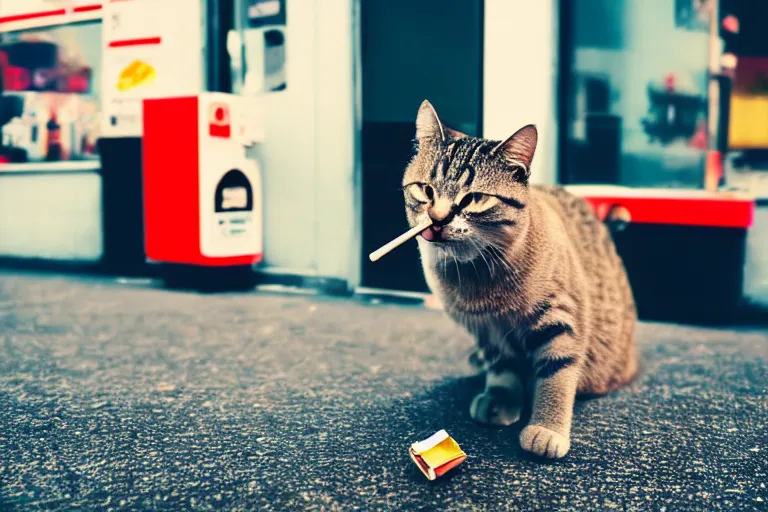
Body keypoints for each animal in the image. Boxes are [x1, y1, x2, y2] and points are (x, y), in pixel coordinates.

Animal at [400, 101, 640, 460]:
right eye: (425, 190)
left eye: (473, 199)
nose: (437, 220)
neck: (475, 273)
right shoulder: (487, 331)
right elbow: (502, 371)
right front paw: (500, 399)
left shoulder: (561, 318)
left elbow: (556, 376)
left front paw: (546, 427)